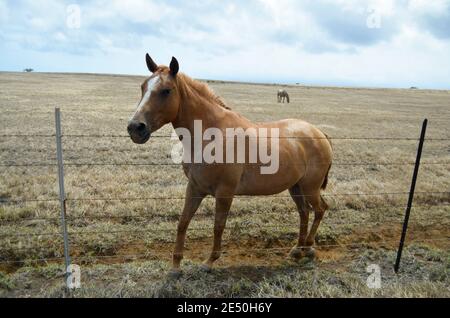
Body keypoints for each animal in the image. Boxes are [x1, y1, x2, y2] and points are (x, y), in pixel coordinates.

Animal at [128, 53, 332, 274]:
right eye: (143, 87)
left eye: (166, 90)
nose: (135, 128)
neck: (211, 135)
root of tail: (320, 134)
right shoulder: (195, 188)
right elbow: (183, 222)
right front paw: (175, 266)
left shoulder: (224, 192)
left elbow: (218, 226)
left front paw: (209, 262)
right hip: (296, 188)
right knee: (304, 213)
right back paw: (297, 250)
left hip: (309, 188)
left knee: (320, 209)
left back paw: (309, 248)